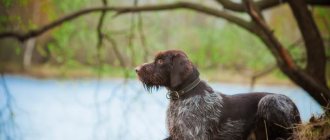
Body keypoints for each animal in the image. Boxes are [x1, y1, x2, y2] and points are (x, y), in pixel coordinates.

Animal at [135, 49, 302, 139]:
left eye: (160, 61)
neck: (183, 96)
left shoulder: (194, 136)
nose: (136, 69)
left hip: (268, 101)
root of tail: (295, 107)